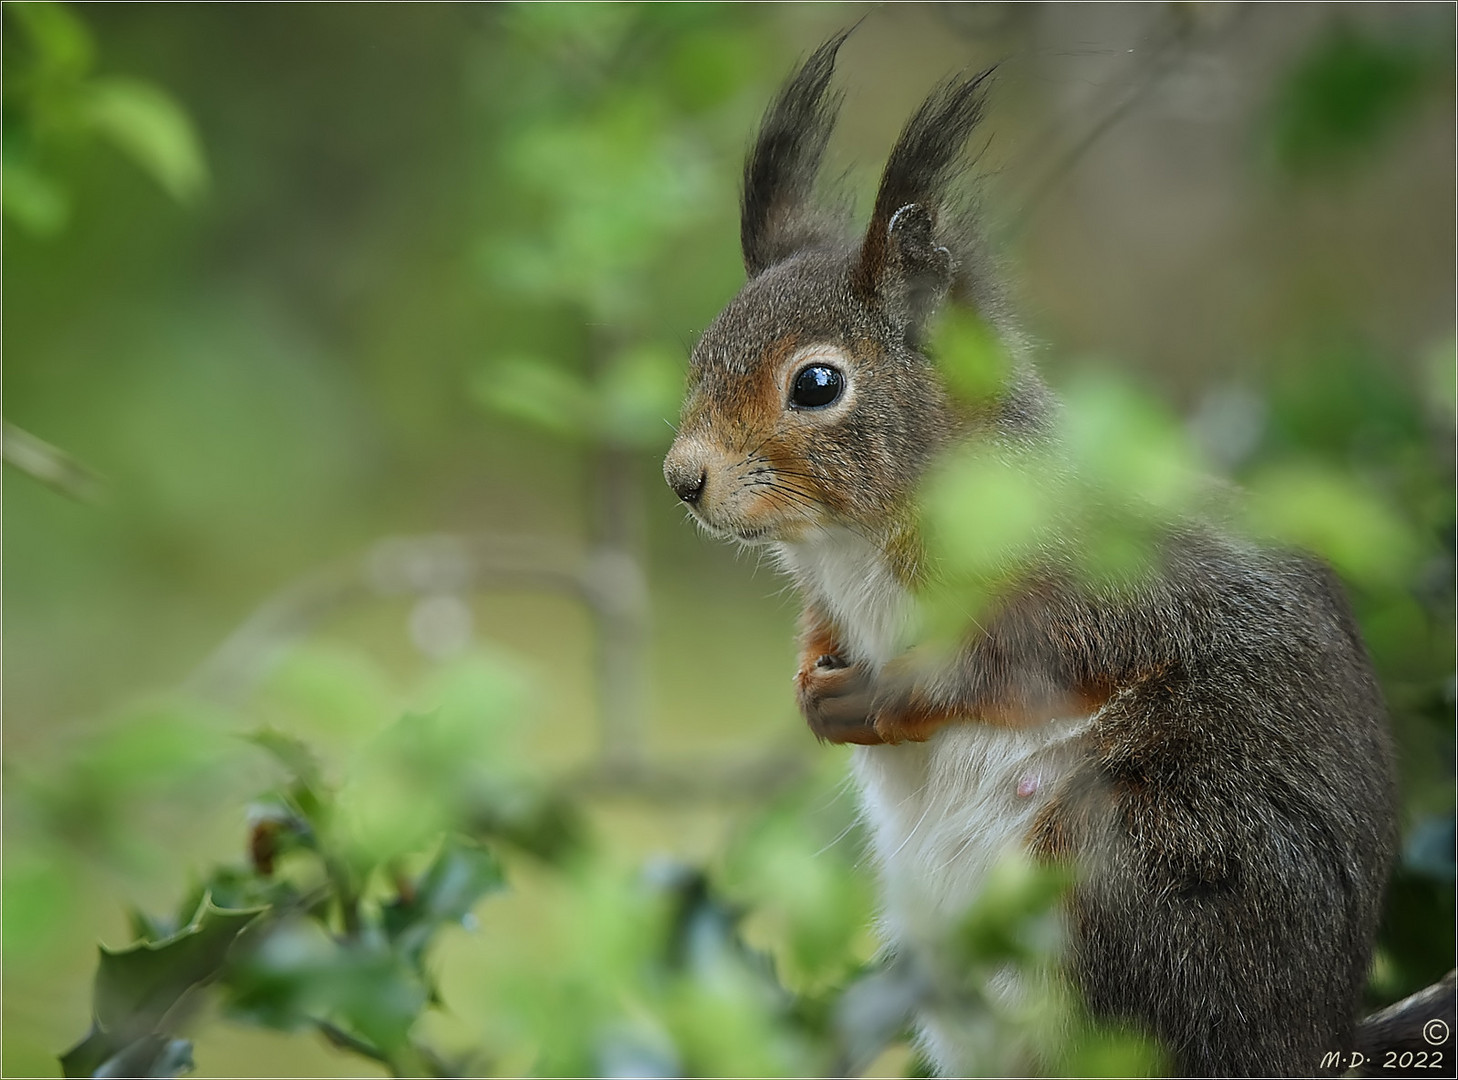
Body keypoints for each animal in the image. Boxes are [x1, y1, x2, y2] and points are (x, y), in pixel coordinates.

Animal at [670, 31, 1446, 1078]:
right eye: (699, 355)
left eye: (818, 384)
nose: (684, 478)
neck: (849, 545)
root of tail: (1309, 1040)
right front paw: (810, 684)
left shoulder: (1090, 584)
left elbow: (1023, 662)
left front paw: (885, 692)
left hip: (1144, 861)